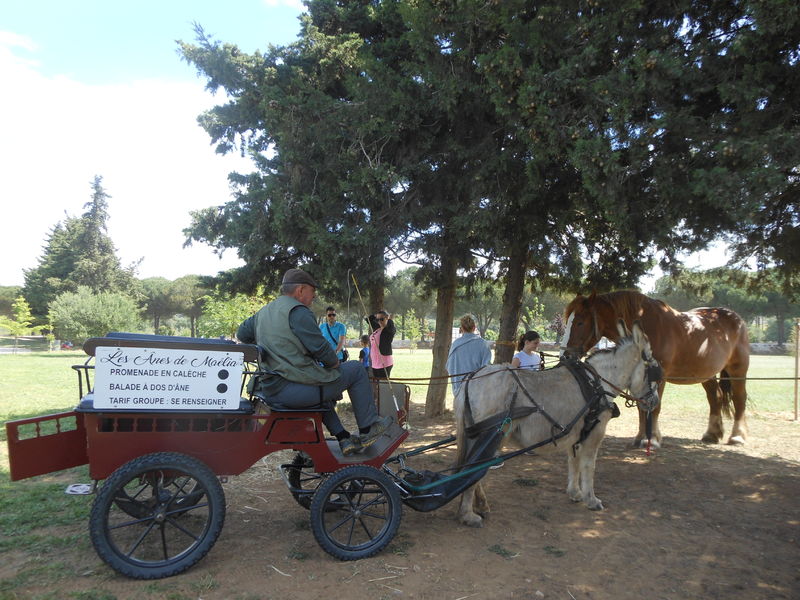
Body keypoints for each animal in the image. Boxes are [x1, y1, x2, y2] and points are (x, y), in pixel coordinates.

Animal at [564, 290, 752, 446]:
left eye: (580, 322)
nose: (565, 355)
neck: (646, 324)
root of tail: (736, 319)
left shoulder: (658, 376)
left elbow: (654, 407)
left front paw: (652, 438)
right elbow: (642, 406)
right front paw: (641, 437)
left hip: (738, 370)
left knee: (739, 399)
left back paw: (737, 437)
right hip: (706, 374)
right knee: (715, 398)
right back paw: (712, 434)